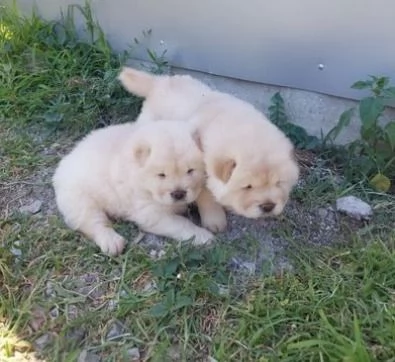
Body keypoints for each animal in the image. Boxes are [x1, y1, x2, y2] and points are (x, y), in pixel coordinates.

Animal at [52, 120, 215, 256]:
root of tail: (65, 162)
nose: (178, 194)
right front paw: (203, 236)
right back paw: (112, 242)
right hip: (80, 199)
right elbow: (181, 223)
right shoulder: (150, 213)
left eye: (190, 170)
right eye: (161, 175)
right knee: (94, 222)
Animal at [119, 66, 302, 222]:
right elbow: (206, 195)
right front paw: (216, 219)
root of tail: (159, 82)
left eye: (278, 183)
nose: (268, 206)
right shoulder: (200, 172)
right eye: (247, 187)